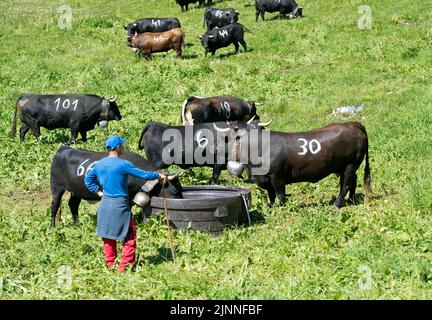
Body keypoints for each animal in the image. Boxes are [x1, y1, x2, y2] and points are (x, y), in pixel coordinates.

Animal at [49, 146, 183, 229]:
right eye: (175, 190)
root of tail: (63, 149)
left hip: (76, 190)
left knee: (73, 204)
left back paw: (77, 224)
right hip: (56, 187)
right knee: (55, 205)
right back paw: (52, 227)